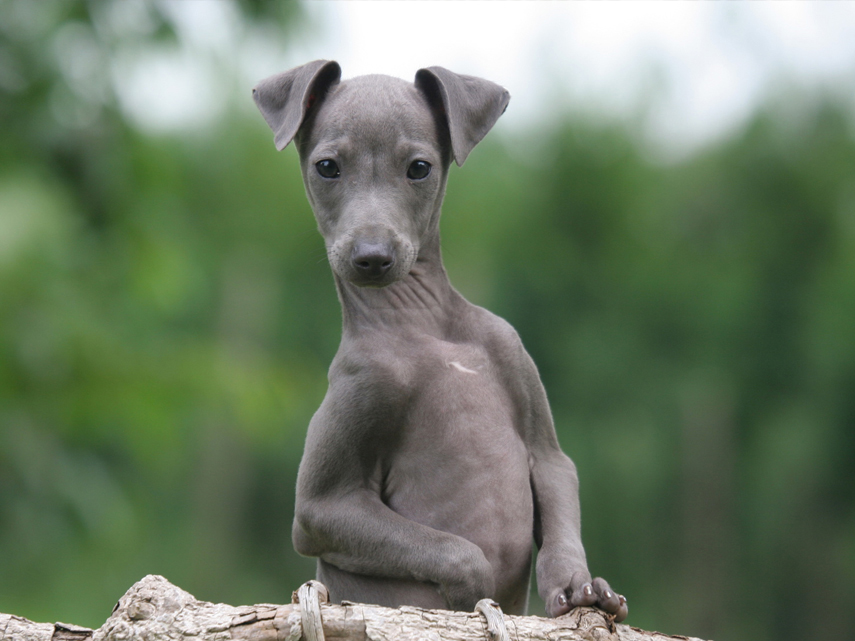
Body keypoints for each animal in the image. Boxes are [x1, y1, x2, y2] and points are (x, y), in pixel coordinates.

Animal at [254, 60, 628, 620]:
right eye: (326, 167)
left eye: (418, 168)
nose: (371, 257)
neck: (424, 327)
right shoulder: (321, 508)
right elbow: (459, 552)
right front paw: (474, 594)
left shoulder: (542, 440)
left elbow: (559, 504)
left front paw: (580, 587)